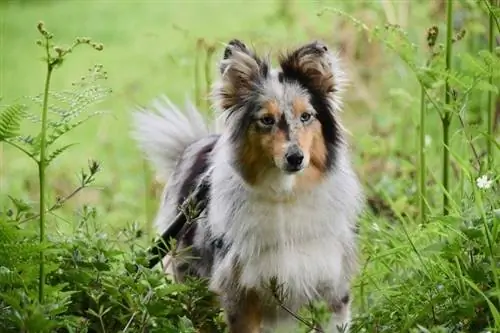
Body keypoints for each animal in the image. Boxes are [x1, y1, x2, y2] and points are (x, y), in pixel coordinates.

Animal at [132, 39, 364, 332]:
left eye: (306, 116)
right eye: (266, 120)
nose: (295, 157)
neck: (286, 195)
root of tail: (196, 144)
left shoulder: (331, 288)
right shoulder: (242, 294)